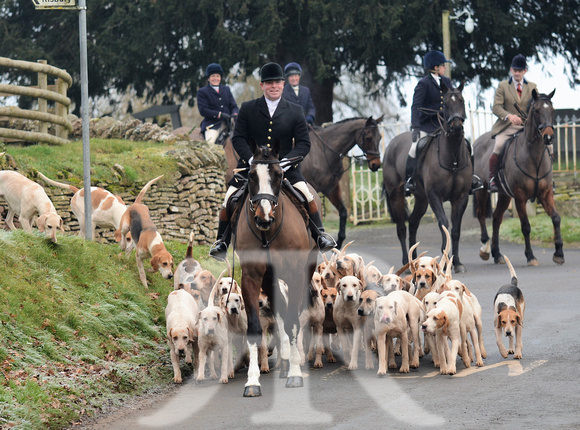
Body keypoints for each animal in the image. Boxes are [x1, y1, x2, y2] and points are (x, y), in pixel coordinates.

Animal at [233, 138, 320, 396]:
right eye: (251, 175)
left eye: (280, 175)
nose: (264, 218)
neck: (268, 233)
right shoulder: (251, 277)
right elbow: (255, 327)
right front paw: (252, 381)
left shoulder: (295, 274)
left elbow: (292, 322)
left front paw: (295, 374)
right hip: (268, 278)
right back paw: (284, 360)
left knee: (294, 314)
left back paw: (293, 361)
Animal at [382, 81, 474, 272]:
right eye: (445, 105)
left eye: (462, 101)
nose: (456, 128)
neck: (453, 157)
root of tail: (392, 144)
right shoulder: (434, 195)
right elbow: (443, 223)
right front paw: (445, 258)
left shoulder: (461, 197)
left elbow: (455, 229)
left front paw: (457, 262)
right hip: (396, 195)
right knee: (401, 227)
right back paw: (406, 261)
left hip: (421, 199)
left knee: (413, 223)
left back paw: (414, 260)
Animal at [474, 89, 564, 268]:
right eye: (536, 111)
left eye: (552, 111)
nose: (548, 137)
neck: (534, 156)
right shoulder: (520, 196)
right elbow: (525, 226)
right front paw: (530, 256)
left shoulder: (546, 193)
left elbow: (556, 218)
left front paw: (559, 253)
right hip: (482, 190)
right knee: (481, 215)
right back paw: (485, 249)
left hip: (504, 195)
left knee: (496, 218)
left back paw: (497, 254)